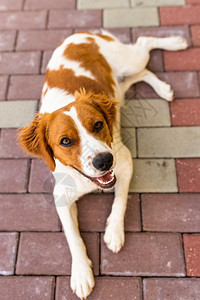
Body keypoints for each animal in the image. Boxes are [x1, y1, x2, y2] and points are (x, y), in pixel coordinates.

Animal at [18, 29, 188, 298]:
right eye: (65, 141)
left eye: (98, 125)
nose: (104, 160)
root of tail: (84, 33)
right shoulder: (61, 196)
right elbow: (72, 236)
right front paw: (81, 273)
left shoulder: (125, 161)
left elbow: (120, 199)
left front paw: (114, 231)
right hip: (119, 86)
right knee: (141, 72)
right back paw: (163, 88)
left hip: (130, 60)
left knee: (144, 45)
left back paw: (175, 44)